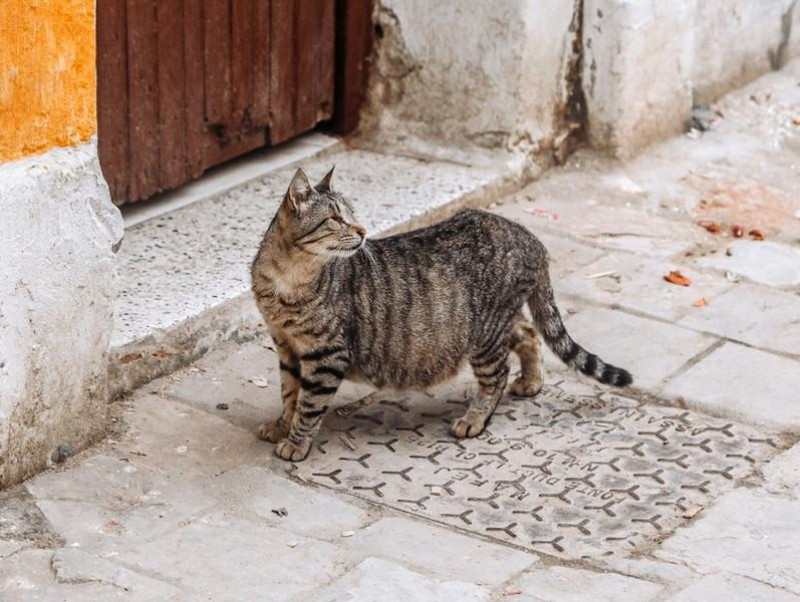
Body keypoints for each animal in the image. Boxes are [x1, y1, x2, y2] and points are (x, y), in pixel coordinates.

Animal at [250, 169, 632, 460]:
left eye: (353, 214)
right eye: (334, 218)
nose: (362, 231)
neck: (286, 279)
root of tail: (529, 237)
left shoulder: (326, 355)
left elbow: (309, 404)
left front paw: (296, 442)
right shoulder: (286, 347)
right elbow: (290, 394)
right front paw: (282, 426)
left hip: (485, 335)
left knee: (497, 376)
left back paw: (475, 418)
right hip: (499, 323)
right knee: (529, 332)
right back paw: (531, 381)